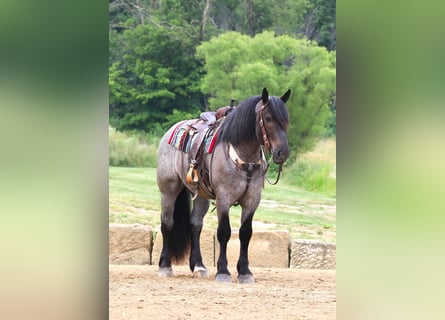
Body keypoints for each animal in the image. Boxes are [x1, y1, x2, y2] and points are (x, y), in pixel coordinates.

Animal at [156, 87, 292, 282]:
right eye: (268, 118)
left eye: (286, 119)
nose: (283, 152)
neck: (245, 159)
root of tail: (172, 130)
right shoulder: (224, 198)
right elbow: (224, 232)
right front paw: (223, 271)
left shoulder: (252, 200)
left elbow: (245, 233)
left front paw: (245, 272)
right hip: (169, 190)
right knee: (167, 223)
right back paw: (165, 266)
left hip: (201, 196)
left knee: (195, 224)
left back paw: (198, 266)